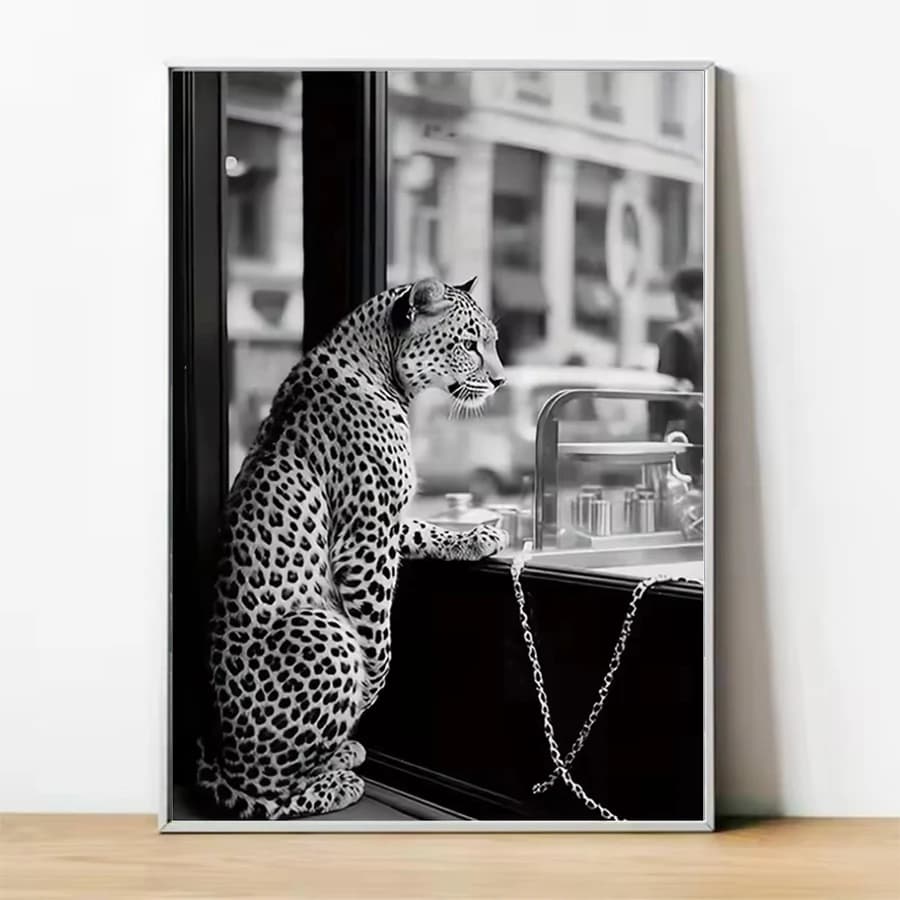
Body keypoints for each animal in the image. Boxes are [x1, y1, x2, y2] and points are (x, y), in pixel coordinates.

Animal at [197, 276, 508, 819]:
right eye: (471, 345)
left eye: (489, 343)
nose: (501, 381)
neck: (381, 368)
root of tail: (224, 756)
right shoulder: (364, 539)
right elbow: (378, 645)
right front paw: (368, 693)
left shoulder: (387, 521)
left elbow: (423, 529)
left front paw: (474, 537)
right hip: (321, 630)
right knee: (267, 794)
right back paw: (335, 781)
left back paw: (339, 755)